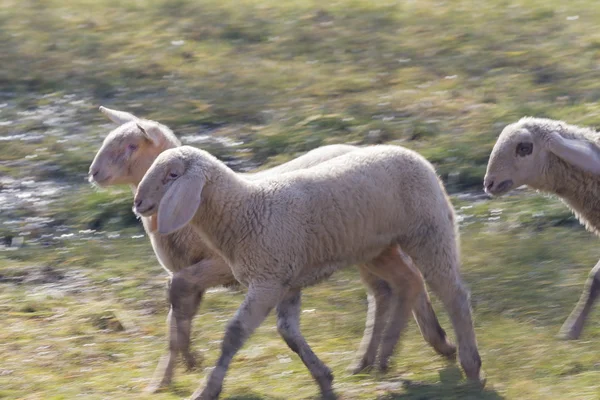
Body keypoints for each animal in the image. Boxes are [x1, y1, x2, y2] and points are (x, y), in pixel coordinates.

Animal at [89, 105, 454, 390]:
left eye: (131, 146)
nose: (93, 173)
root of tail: (356, 145)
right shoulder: (194, 270)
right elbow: (177, 316)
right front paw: (169, 375)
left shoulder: (218, 266)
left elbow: (178, 298)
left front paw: (186, 365)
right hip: (367, 247)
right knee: (385, 291)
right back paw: (375, 358)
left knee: (402, 283)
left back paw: (430, 344)